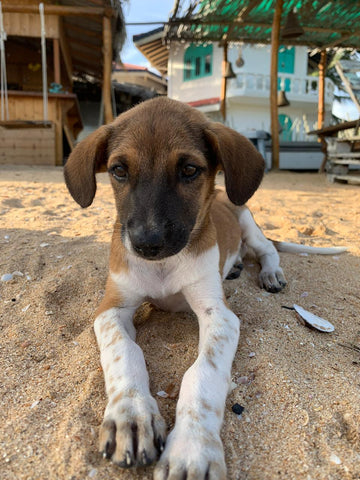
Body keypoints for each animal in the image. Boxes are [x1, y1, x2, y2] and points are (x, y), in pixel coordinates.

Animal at [62, 95, 286, 478]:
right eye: (118, 170)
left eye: (190, 170)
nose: (147, 244)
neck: (162, 268)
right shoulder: (111, 308)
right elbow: (124, 352)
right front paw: (131, 415)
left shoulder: (219, 314)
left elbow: (203, 373)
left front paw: (192, 447)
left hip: (246, 220)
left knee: (268, 248)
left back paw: (269, 273)